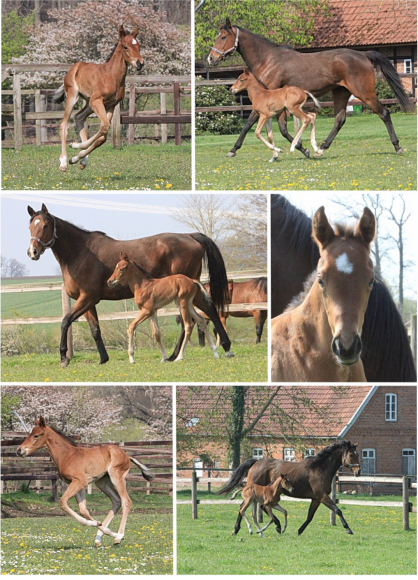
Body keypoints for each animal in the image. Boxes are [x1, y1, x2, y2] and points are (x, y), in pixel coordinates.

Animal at [16, 416, 154, 544]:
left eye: (36, 435)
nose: (19, 450)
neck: (67, 455)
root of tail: (127, 455)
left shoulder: (80, 481)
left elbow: (63, 502)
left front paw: (106, 530)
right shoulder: (76, 483)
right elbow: (83, 510)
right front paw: (99, 524)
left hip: (116, 476)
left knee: (126, 502)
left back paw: (118, 536)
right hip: (102, 482)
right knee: (116, 501)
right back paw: (99, 538)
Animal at [53, 26, 145, 171]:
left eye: (139, 46)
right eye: (125, 47)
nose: (140, 63)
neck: (112, 76)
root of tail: (73, 68)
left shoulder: (111, 104)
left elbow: (103, 136)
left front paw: (76, 157)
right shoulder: (97, 101)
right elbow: (104, 127)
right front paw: (74, 146)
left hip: (89, 103)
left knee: (79, 117)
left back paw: (82, 160)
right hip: (74, 96)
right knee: (64, 125)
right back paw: (63, 162)